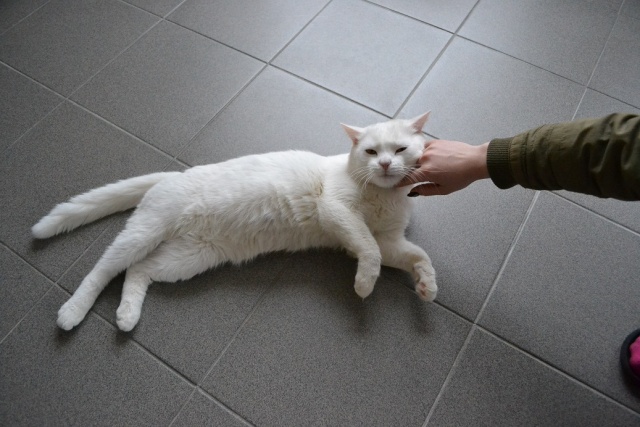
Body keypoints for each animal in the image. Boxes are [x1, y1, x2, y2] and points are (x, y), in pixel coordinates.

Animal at [33, 113, 437, 332]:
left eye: (400, 150)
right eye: (370, 151)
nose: (384, 164)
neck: (384, 197)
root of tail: (172, 175)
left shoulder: (389, 240)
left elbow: (417, 254)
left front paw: (426, 285)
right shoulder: (337, 211)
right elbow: (368, 250)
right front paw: (365, 284)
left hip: (187, 258)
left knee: (138, 271)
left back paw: (127, 315)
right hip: (145, 233)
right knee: (103, 268)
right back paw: (72, 312)